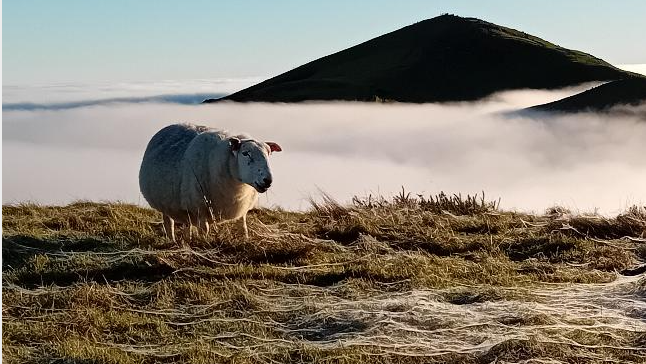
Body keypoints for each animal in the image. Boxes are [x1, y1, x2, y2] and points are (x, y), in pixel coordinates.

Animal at [139, 123, 284, 243]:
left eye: (269, 153)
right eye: (245, 153)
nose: (268, 180)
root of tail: (166, 127)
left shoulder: (242, 208)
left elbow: (243, 227)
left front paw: (245, 240)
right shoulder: (201, 209)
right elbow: (205, 230)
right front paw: (205, 243)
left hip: (184, 207)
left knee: (186, 224)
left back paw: (187, 239)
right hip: (165, 204)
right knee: (169, 223)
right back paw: (172, 240)